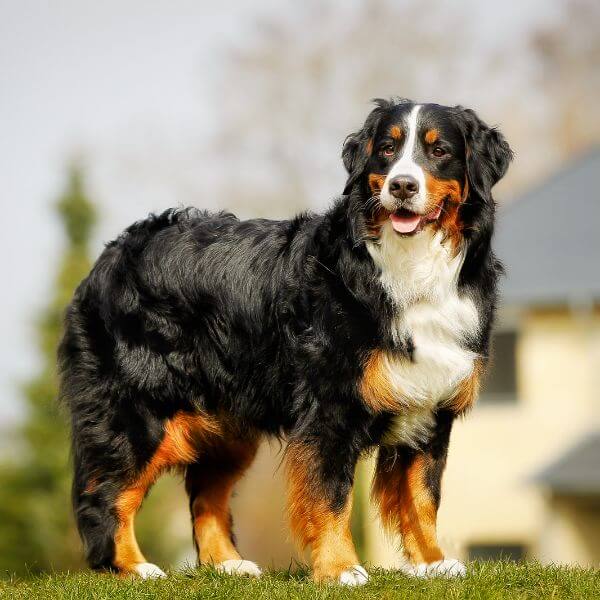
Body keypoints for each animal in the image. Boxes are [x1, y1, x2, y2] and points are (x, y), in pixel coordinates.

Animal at [58, 98, 512, 584]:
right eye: (387, 150)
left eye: (439, 150)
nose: (402, 185)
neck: (409, 268)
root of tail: (112, 253)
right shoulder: (329, 408)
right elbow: (331, 494)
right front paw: (340, 568)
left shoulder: (431, 406)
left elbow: (423, 496)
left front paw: (432, 562)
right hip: (138, 411)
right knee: (106, 494)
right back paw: (132, 567)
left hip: (228, 424)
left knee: (206, 493)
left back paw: (228, 564)